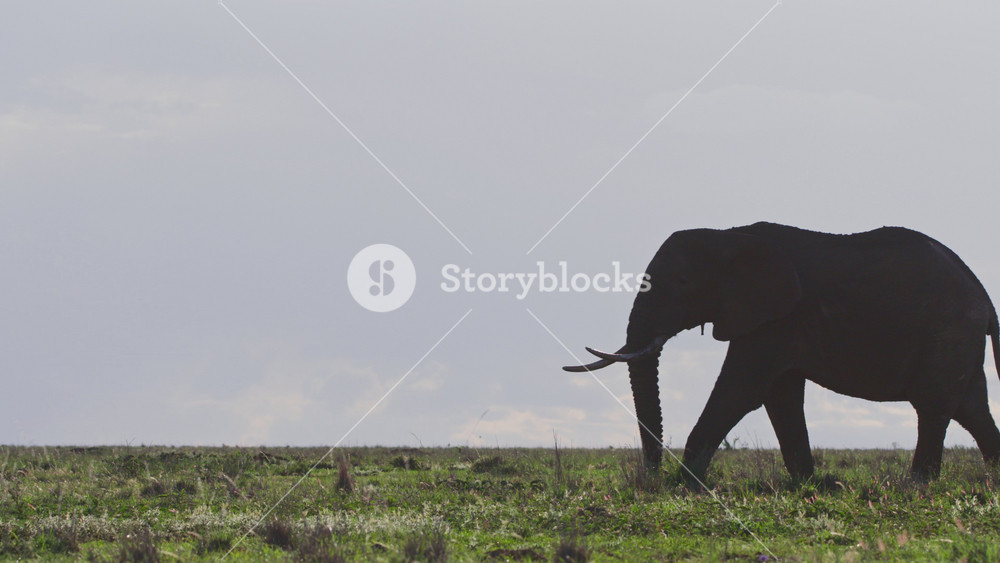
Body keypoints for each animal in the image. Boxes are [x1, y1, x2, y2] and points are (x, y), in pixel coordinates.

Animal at [564, 222, 1000, 482]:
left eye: (684, 282)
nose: (652, 477)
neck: (730, 235)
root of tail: (983, 295)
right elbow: (780, 395)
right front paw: (811, 483)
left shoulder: (776, 320)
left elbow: (741, 390)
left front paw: (688, 486)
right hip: (957, 338)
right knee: (972, 409)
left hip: (948, 331)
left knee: (934, 406)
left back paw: (916, 484)